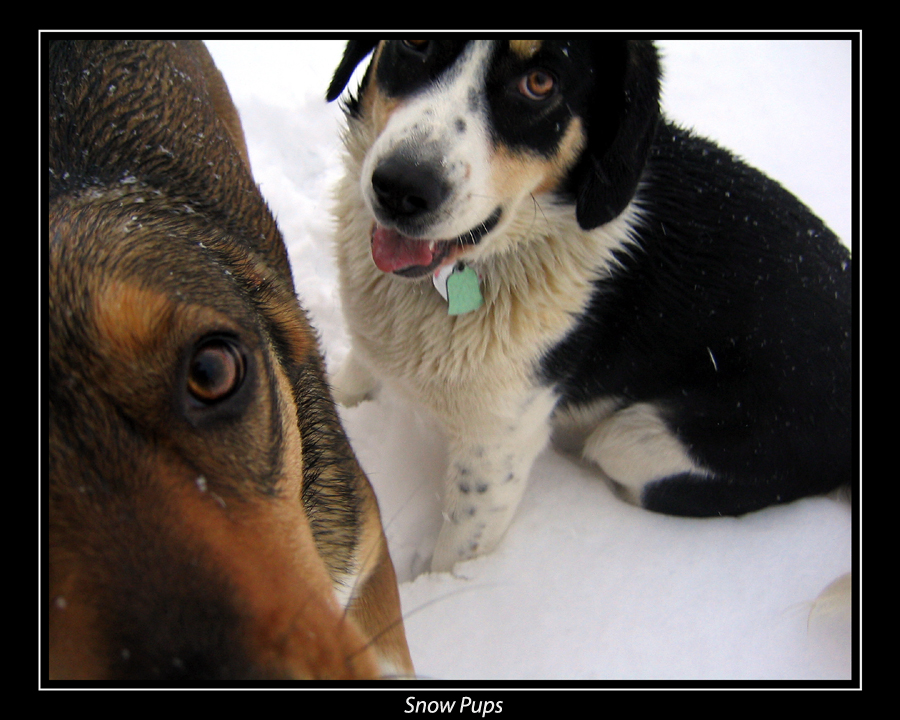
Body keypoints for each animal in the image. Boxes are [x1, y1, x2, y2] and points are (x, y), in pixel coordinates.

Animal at [326, 39, 856, 572]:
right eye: (415, 42)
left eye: (540, 83)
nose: (400, 188)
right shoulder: (373, 348)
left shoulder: (496, 448)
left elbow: (455, 560)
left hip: (642, 442)